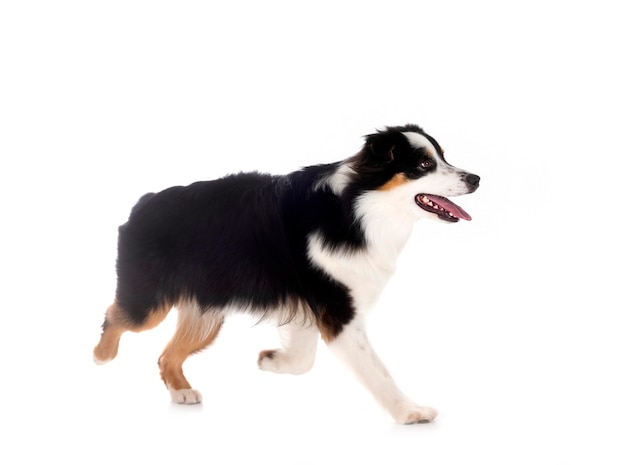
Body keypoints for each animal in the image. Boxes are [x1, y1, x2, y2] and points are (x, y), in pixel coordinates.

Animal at [92, 124, 478, 424]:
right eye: (425, 164)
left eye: (443, 157)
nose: (476, 178)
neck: (359, 209)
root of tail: (144, 202)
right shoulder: (337, 309)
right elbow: (376, 370)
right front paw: (409, 412)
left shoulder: (311, 303)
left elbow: (303, 360)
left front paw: (270, 360)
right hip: (149, 304)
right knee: (115, 315)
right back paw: (101, 356)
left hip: (206, 316)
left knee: (167, 355)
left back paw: (182, 392)